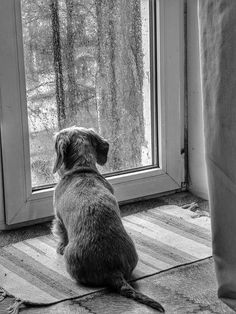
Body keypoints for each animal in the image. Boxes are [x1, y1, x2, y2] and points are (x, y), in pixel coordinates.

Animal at [52, 125, 165, 312]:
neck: (82, 170)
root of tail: (113, 271)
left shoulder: (59, 219)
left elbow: (62, 235)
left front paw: (59, 247)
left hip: (71, 260)